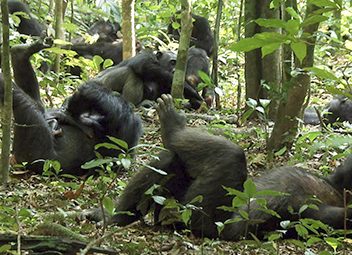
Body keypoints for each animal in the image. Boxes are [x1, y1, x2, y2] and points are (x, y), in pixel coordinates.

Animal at [0, 38, 143, 175]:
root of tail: (16, 160)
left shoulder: (122, 132)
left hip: (33, 151)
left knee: (23, 101)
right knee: (38, 105)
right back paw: (22, 52)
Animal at [81, 94, 352, 240]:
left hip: (200, 213)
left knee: (230, 156)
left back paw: (172, 126)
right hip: (175, 205)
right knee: (170, 160)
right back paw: (114, 217)